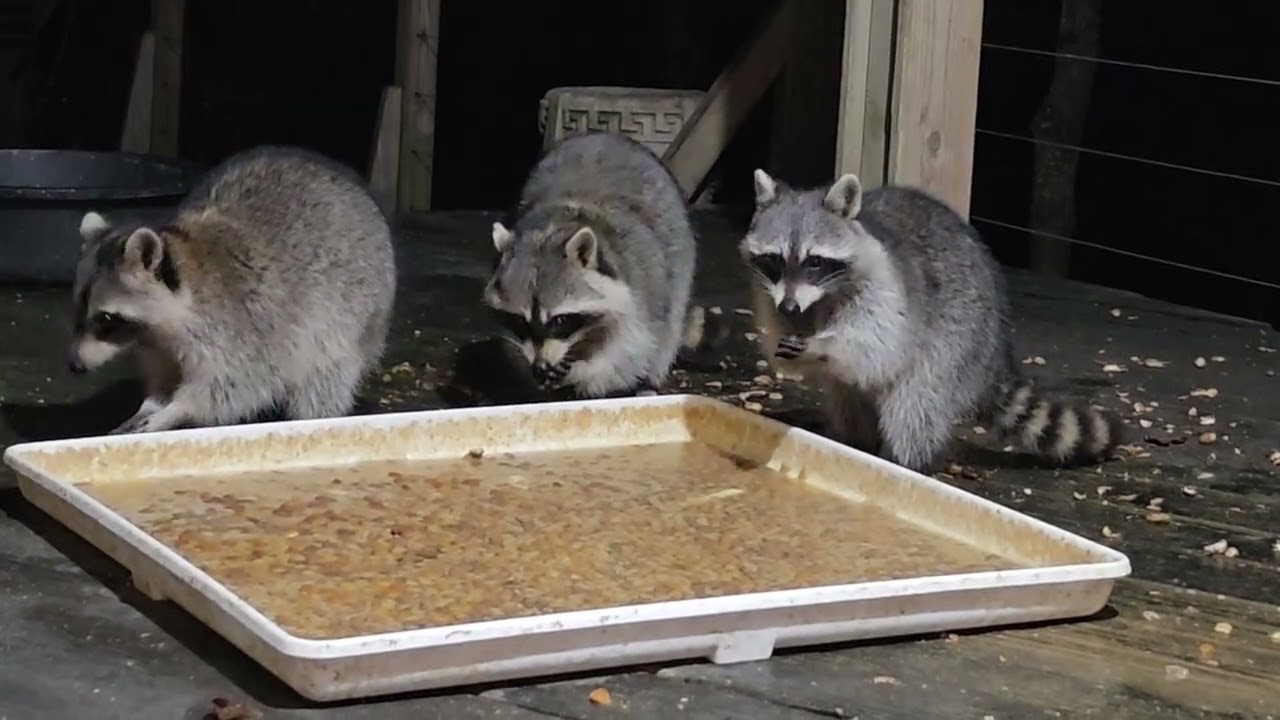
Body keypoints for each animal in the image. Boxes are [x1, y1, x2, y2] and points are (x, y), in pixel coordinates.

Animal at [67, 145, 397, 434]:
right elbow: (165, 378)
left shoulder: (240, 331)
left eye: (107, 318)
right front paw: (152, 404)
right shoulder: (157, 344)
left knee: (325, 374)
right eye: (79, 309)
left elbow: (233, 388)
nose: (74, 365)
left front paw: (178, 409)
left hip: (352, 311)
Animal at [482, 131, 719, 398]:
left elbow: (628, 353)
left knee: (670, 322)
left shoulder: (641, 286)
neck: (551, 228)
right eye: (520, 321)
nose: (541, 366)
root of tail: (603, 135)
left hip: (678, 250)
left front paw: (586, 373)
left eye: (560, 321)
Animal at [739, 168, 1124, 474]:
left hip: (959, 336)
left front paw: (820, 342)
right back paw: (855, 441)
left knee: (915, 404)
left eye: (814, 261)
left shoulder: (884, 286)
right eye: (773, 259)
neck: (824, 296)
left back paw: (902, 461)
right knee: (847, 397)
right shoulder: (769, 293)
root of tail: (996, 347)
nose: (790, 308)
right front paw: (796, 335)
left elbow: (877, 346)